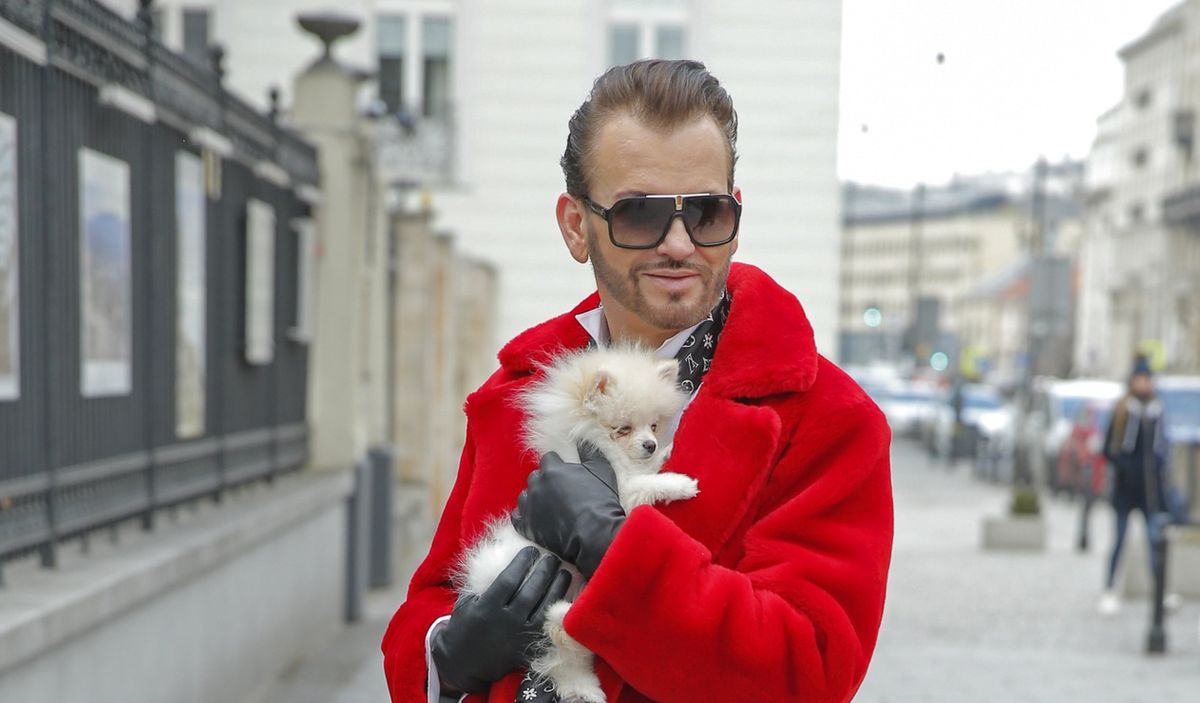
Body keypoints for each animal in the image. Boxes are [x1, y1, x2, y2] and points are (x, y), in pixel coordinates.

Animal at [458, 343, 700, 695]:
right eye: (623, 428)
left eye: (653, 426)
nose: (650, 444)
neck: (600, 445)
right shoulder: (621, 489)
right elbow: (646, 484)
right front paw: (679, 484)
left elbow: (647, 470)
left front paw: (664, 454)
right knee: (554, 633)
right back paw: (563, 620)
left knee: (566, 651)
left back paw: (586, 686)